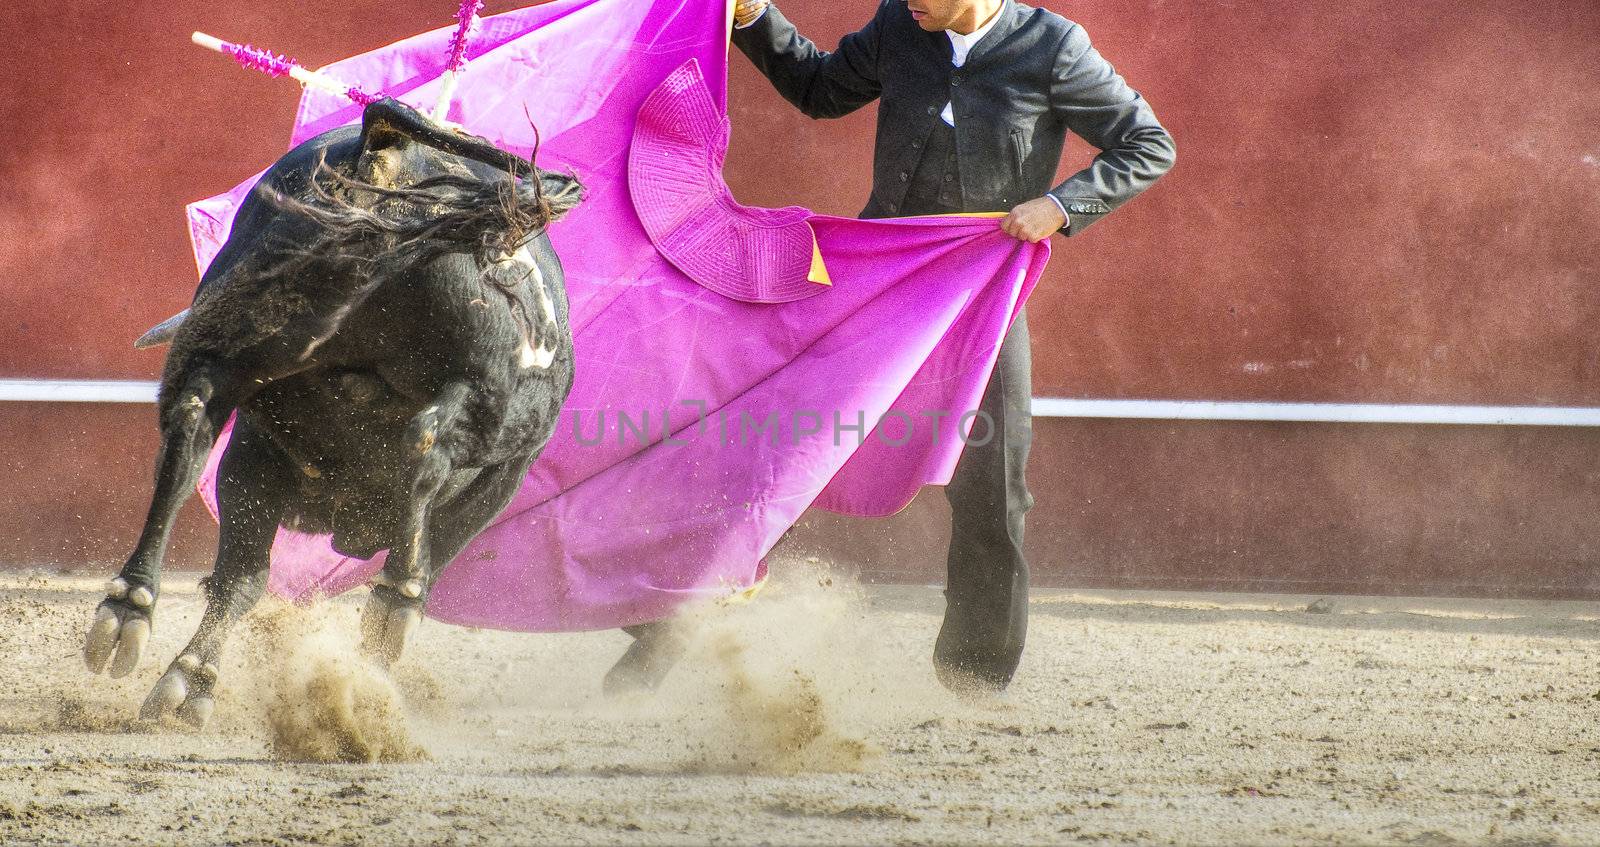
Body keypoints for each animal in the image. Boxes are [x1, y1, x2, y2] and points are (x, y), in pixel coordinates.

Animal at [78, 95, 588, 723]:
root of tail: (391, 159)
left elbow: (243, 576)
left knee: (191, 421)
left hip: (228, 339)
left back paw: (129, 608)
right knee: (427, 448)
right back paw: (396, 598)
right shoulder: (506, 474)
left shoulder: (255, 449)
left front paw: (191, 680)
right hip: (490, 393)